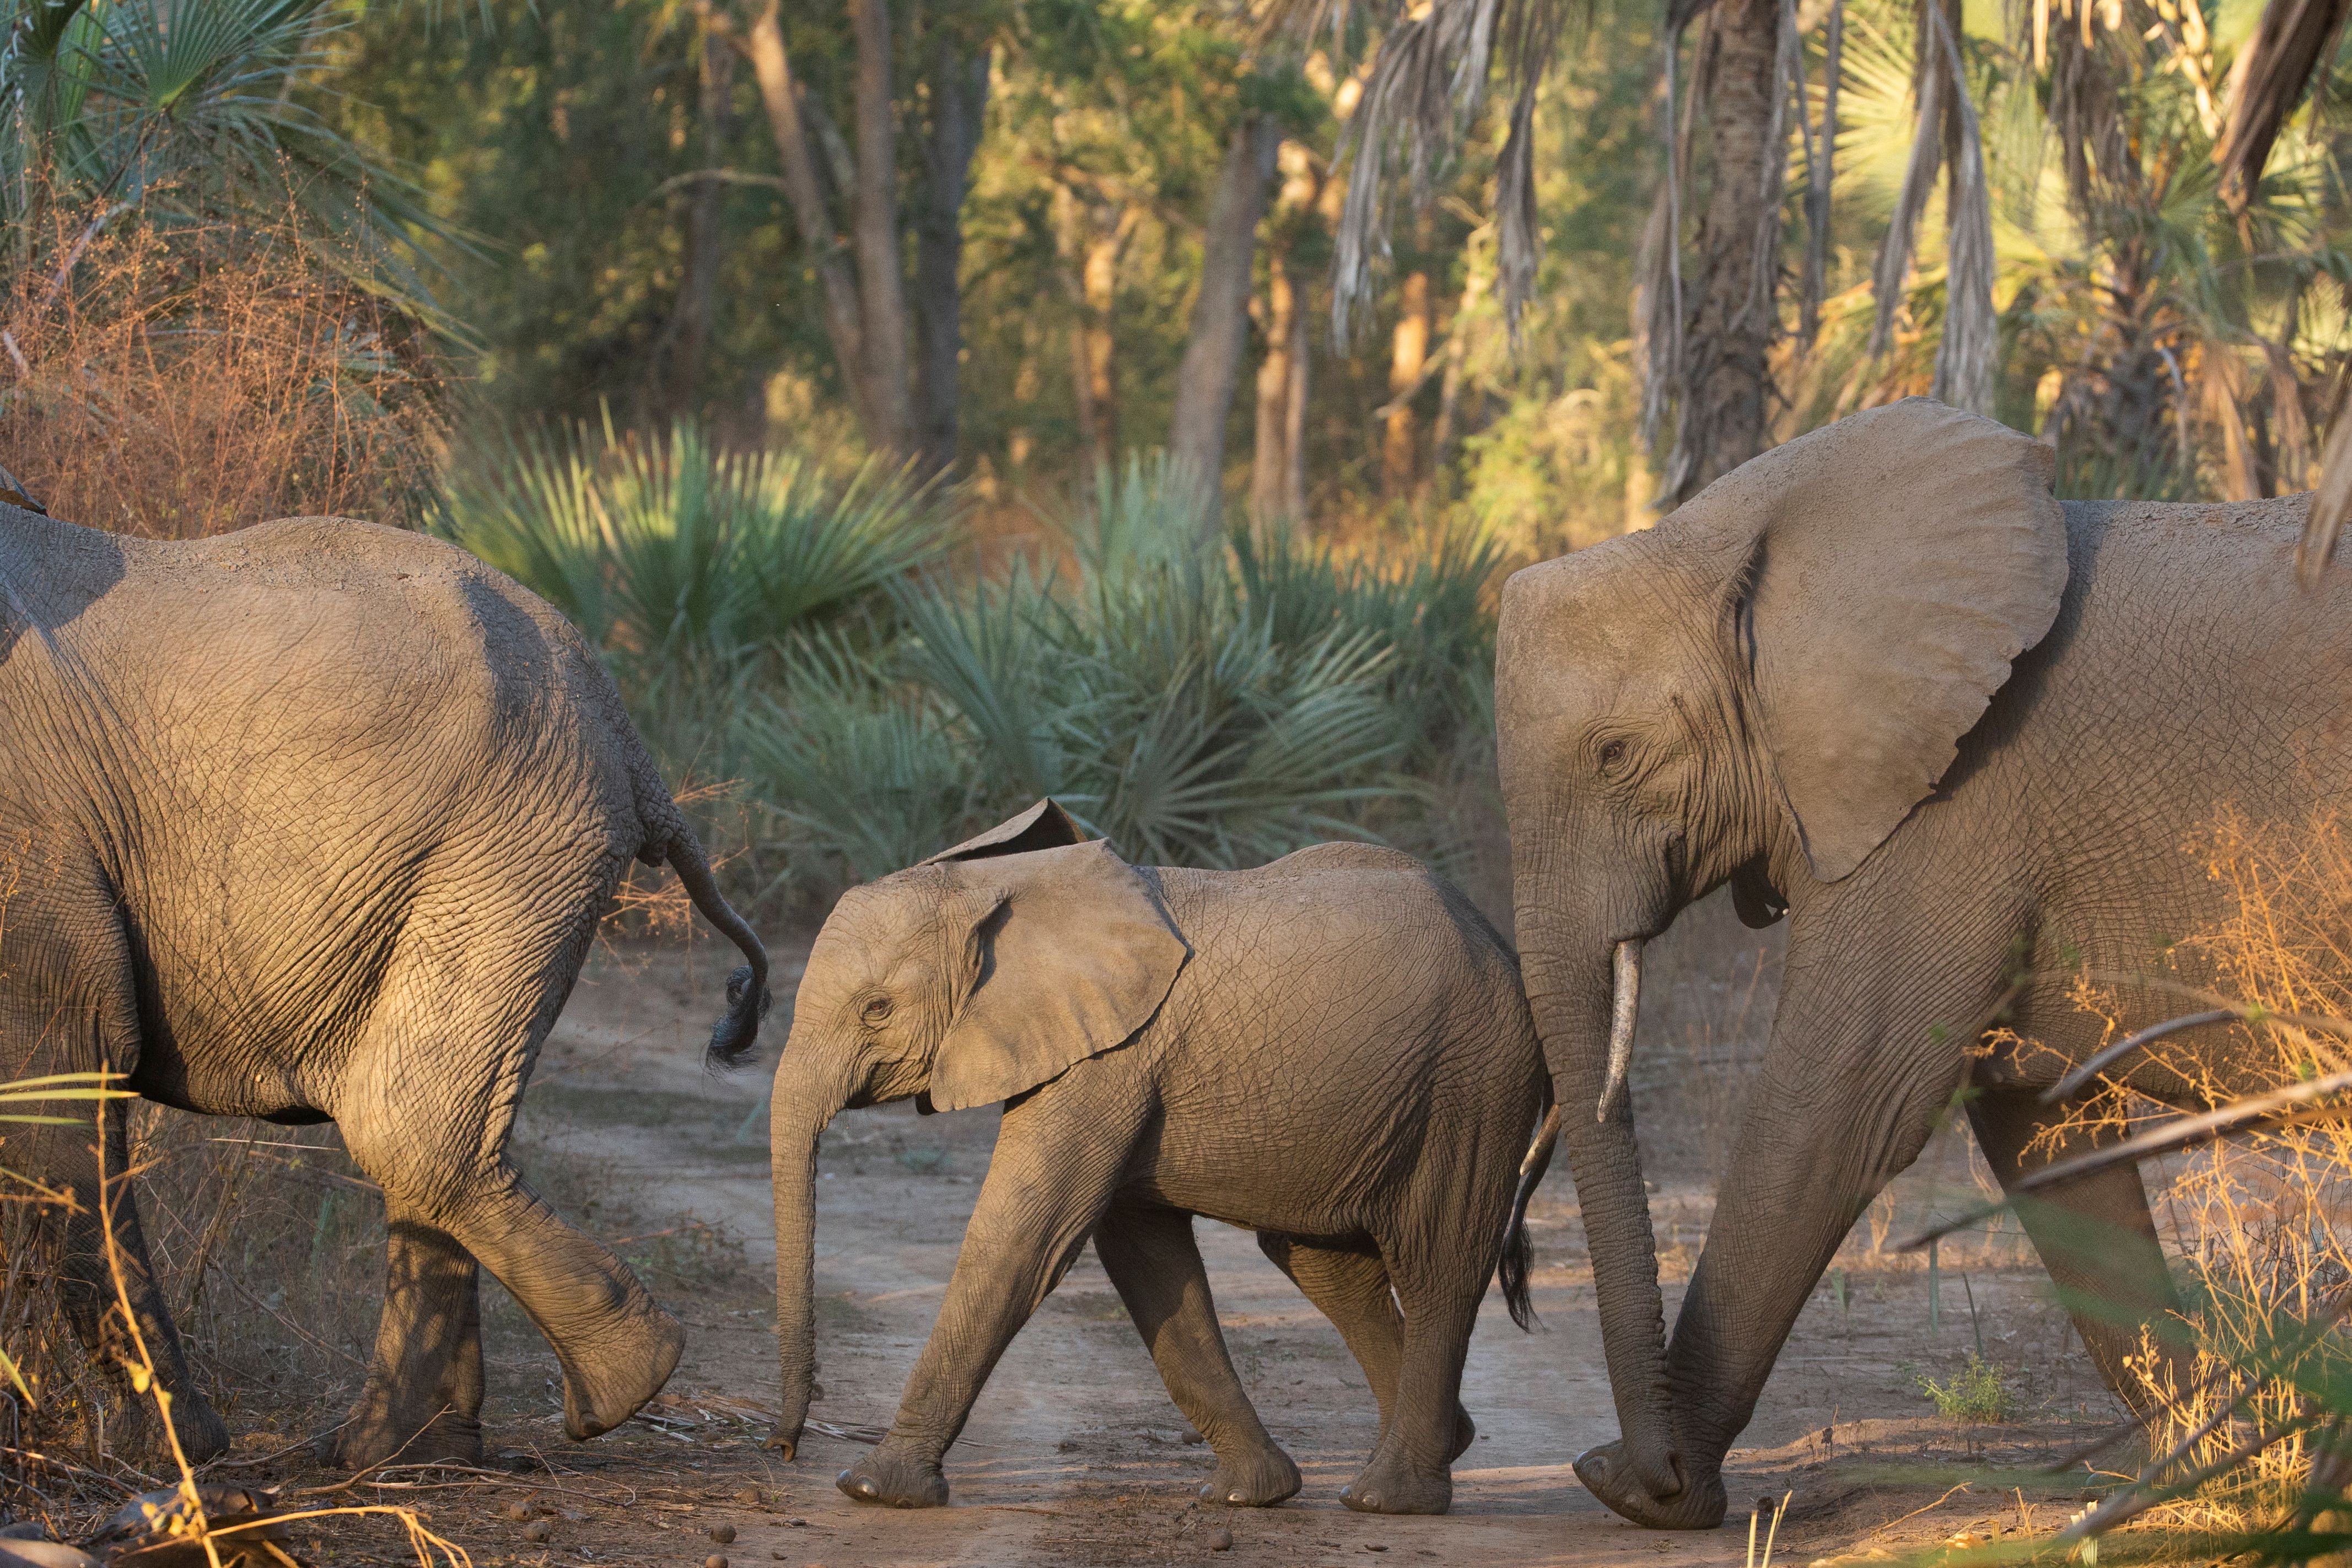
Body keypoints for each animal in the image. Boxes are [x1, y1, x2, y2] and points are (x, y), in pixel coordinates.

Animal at [0, 501, 770, 1470]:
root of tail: (634, 750)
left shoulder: (28, 838)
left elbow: (53, 1093)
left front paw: (173, 1456)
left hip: (511, 841)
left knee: (407, 1125)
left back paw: (617, 1384)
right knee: (428, 1124)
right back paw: (399, 1451)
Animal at [763, 800, 1548, 1516]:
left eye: (877, 1010)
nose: (785, 1448)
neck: (1000, 886)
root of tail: (1498, 941)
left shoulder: (1113, 1057)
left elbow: (1026, 1237)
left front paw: (872, 1489)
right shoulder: (1113, 1061)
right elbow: (1144, 1255)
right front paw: (1250, 1496)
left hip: (1472, 1081)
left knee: (1437, 1263)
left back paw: (1388, 1500)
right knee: (1326, 1266)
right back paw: (1442, 1445)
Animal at [1494, 397, 2352, 1529]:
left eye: (1615, 756)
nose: (1631, 1466)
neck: (1728, 537)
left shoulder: (1952, 811)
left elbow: (1838, 1107)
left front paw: (1646, 1497)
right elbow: (2042, 1132)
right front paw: (2213, 1474)